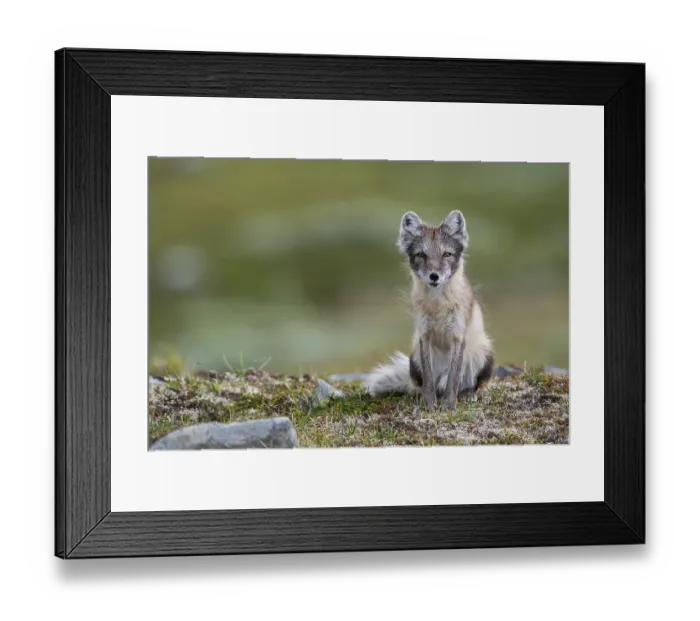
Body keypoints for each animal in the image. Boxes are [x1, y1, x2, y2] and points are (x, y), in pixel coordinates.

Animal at [364, 210, 494, 411]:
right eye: (421, 254)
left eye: (447, 254)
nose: (434, 276)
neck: (437, 304)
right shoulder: (424, 335)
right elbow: (428, 379)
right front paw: (430, 405)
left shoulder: (458, 336)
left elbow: (453, 379)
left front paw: (449, 406)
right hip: (414, 358)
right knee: (422, 384)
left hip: (483, 354)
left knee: (470, 383)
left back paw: (470, 394)